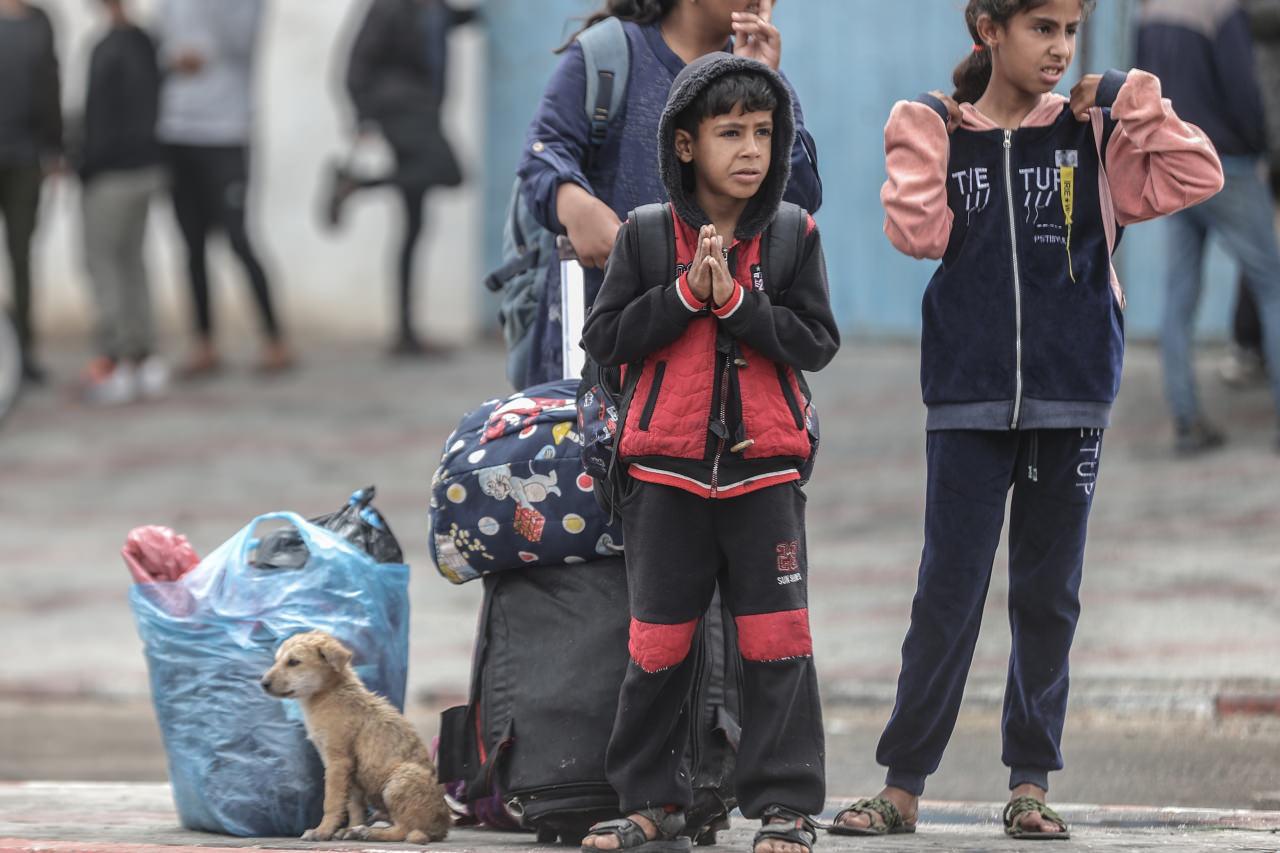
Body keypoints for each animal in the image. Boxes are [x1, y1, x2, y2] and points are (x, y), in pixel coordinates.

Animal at [259, 627, 450, 840]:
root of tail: (443, 826)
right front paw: (348, 827)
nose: (263, 683)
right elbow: (353, 804)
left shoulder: (338, 761)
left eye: (293, 662)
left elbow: (332, 802)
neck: (330, 694)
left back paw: (367, 832)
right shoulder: (348, 768)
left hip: (400, 779)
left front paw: (322, 831)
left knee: (403, 830)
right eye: (276, 660)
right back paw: (359, 830)